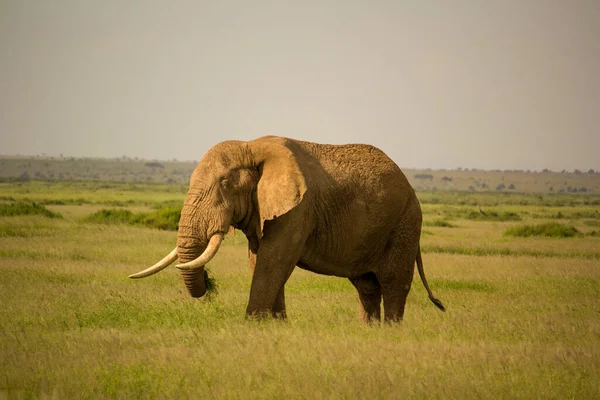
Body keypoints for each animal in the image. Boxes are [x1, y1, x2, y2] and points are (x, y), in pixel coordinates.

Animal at [129, 136, 442, 324]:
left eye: (224, 184)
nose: (208, 282)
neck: (251, 146)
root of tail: (409, 184)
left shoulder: (298, 208)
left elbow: (275, 260)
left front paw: (252, 324)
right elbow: (260, 259)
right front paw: (275, 325)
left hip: (405, 222)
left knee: (393, 282)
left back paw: (390, 330)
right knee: (366, 285)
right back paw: (368, 330)